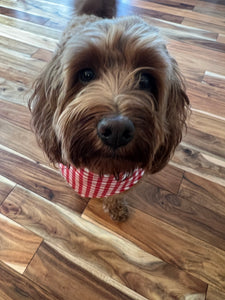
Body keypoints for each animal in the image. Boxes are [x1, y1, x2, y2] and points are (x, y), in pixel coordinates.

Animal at [28, 0, 190, 220]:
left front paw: (116, 206)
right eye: (86, 74)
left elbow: (118, 194)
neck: (103, 173)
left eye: (145, 80)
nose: (116, 130)